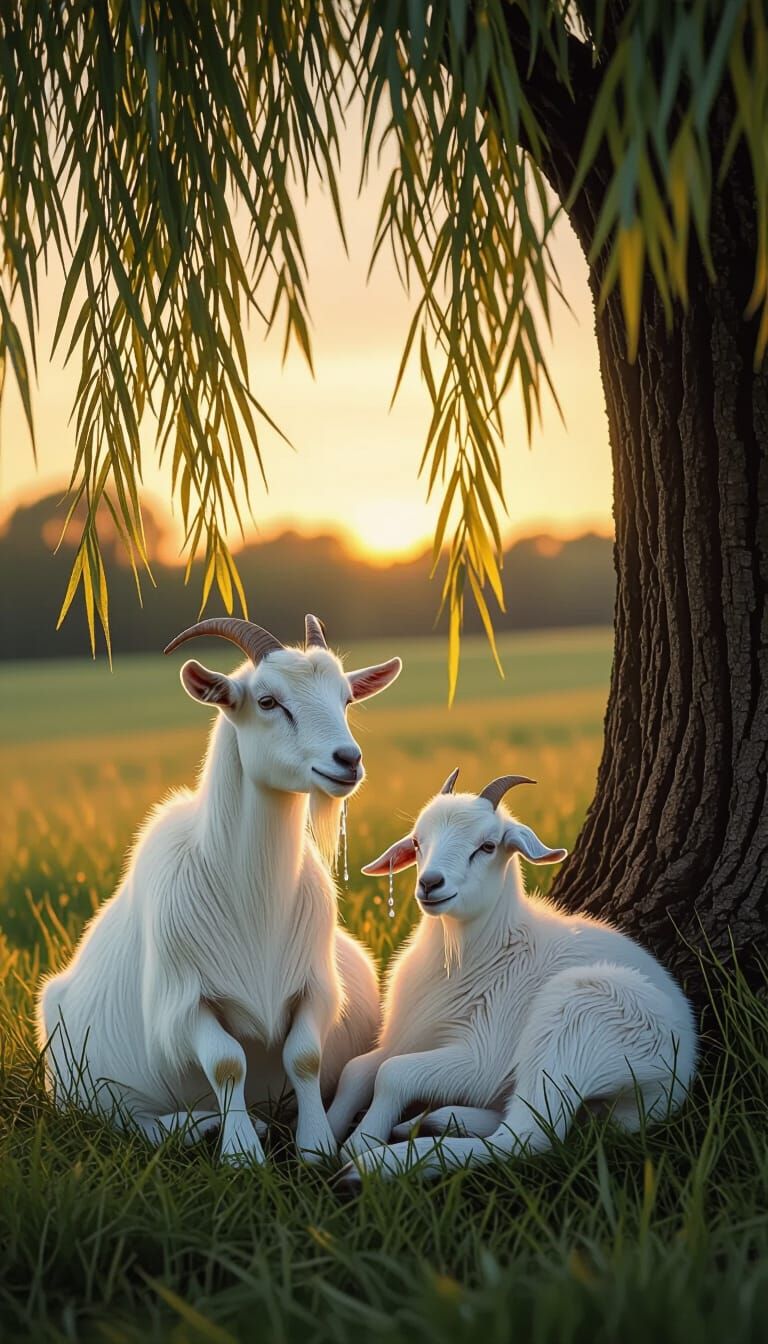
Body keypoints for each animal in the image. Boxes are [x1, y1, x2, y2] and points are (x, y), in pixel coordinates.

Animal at [37, 614, 401, 1164]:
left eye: (345, 699)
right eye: (268, 701)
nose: (347, 760)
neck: (255, 897)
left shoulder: (315, 986)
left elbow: (305, 1056)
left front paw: (314, 1146)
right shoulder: (184, 1003)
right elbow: (227, 1063)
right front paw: (241, 1152)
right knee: (126, 1121)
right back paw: (202, 1127)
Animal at [329, 768, 697, 1184]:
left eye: (487, 846)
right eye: (418, 843)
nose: (430, 883)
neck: (481, 955)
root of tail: (682, 1073)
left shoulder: (484, 1057)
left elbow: (392, 1073)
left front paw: (359, 1143)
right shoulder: (412, 1033)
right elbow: (357, 1069)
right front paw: (322, 1138)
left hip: (575, 1027)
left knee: (527, 1135)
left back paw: (378, 1165)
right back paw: (435, 1121)